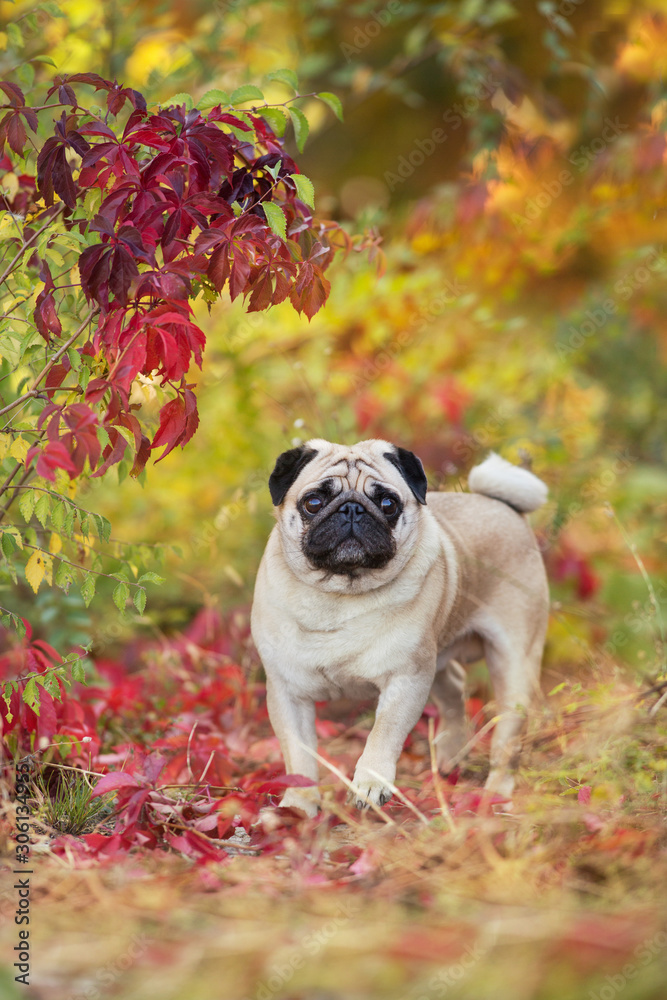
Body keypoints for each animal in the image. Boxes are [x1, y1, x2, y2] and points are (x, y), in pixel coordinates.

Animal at [250, 442, 548, 816]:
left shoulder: (406, 679)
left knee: (507, 732)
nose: (351, 509)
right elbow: (299, 756)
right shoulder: (288, 692)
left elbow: (384, 732)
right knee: (454, 687)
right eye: (313, 502)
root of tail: (502, 505)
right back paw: (449, 754)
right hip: (437, 660)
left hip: (512, 664)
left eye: (388, 504)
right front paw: (298, 806)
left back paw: (496, 793)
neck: (339, 596)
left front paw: (370, 784)